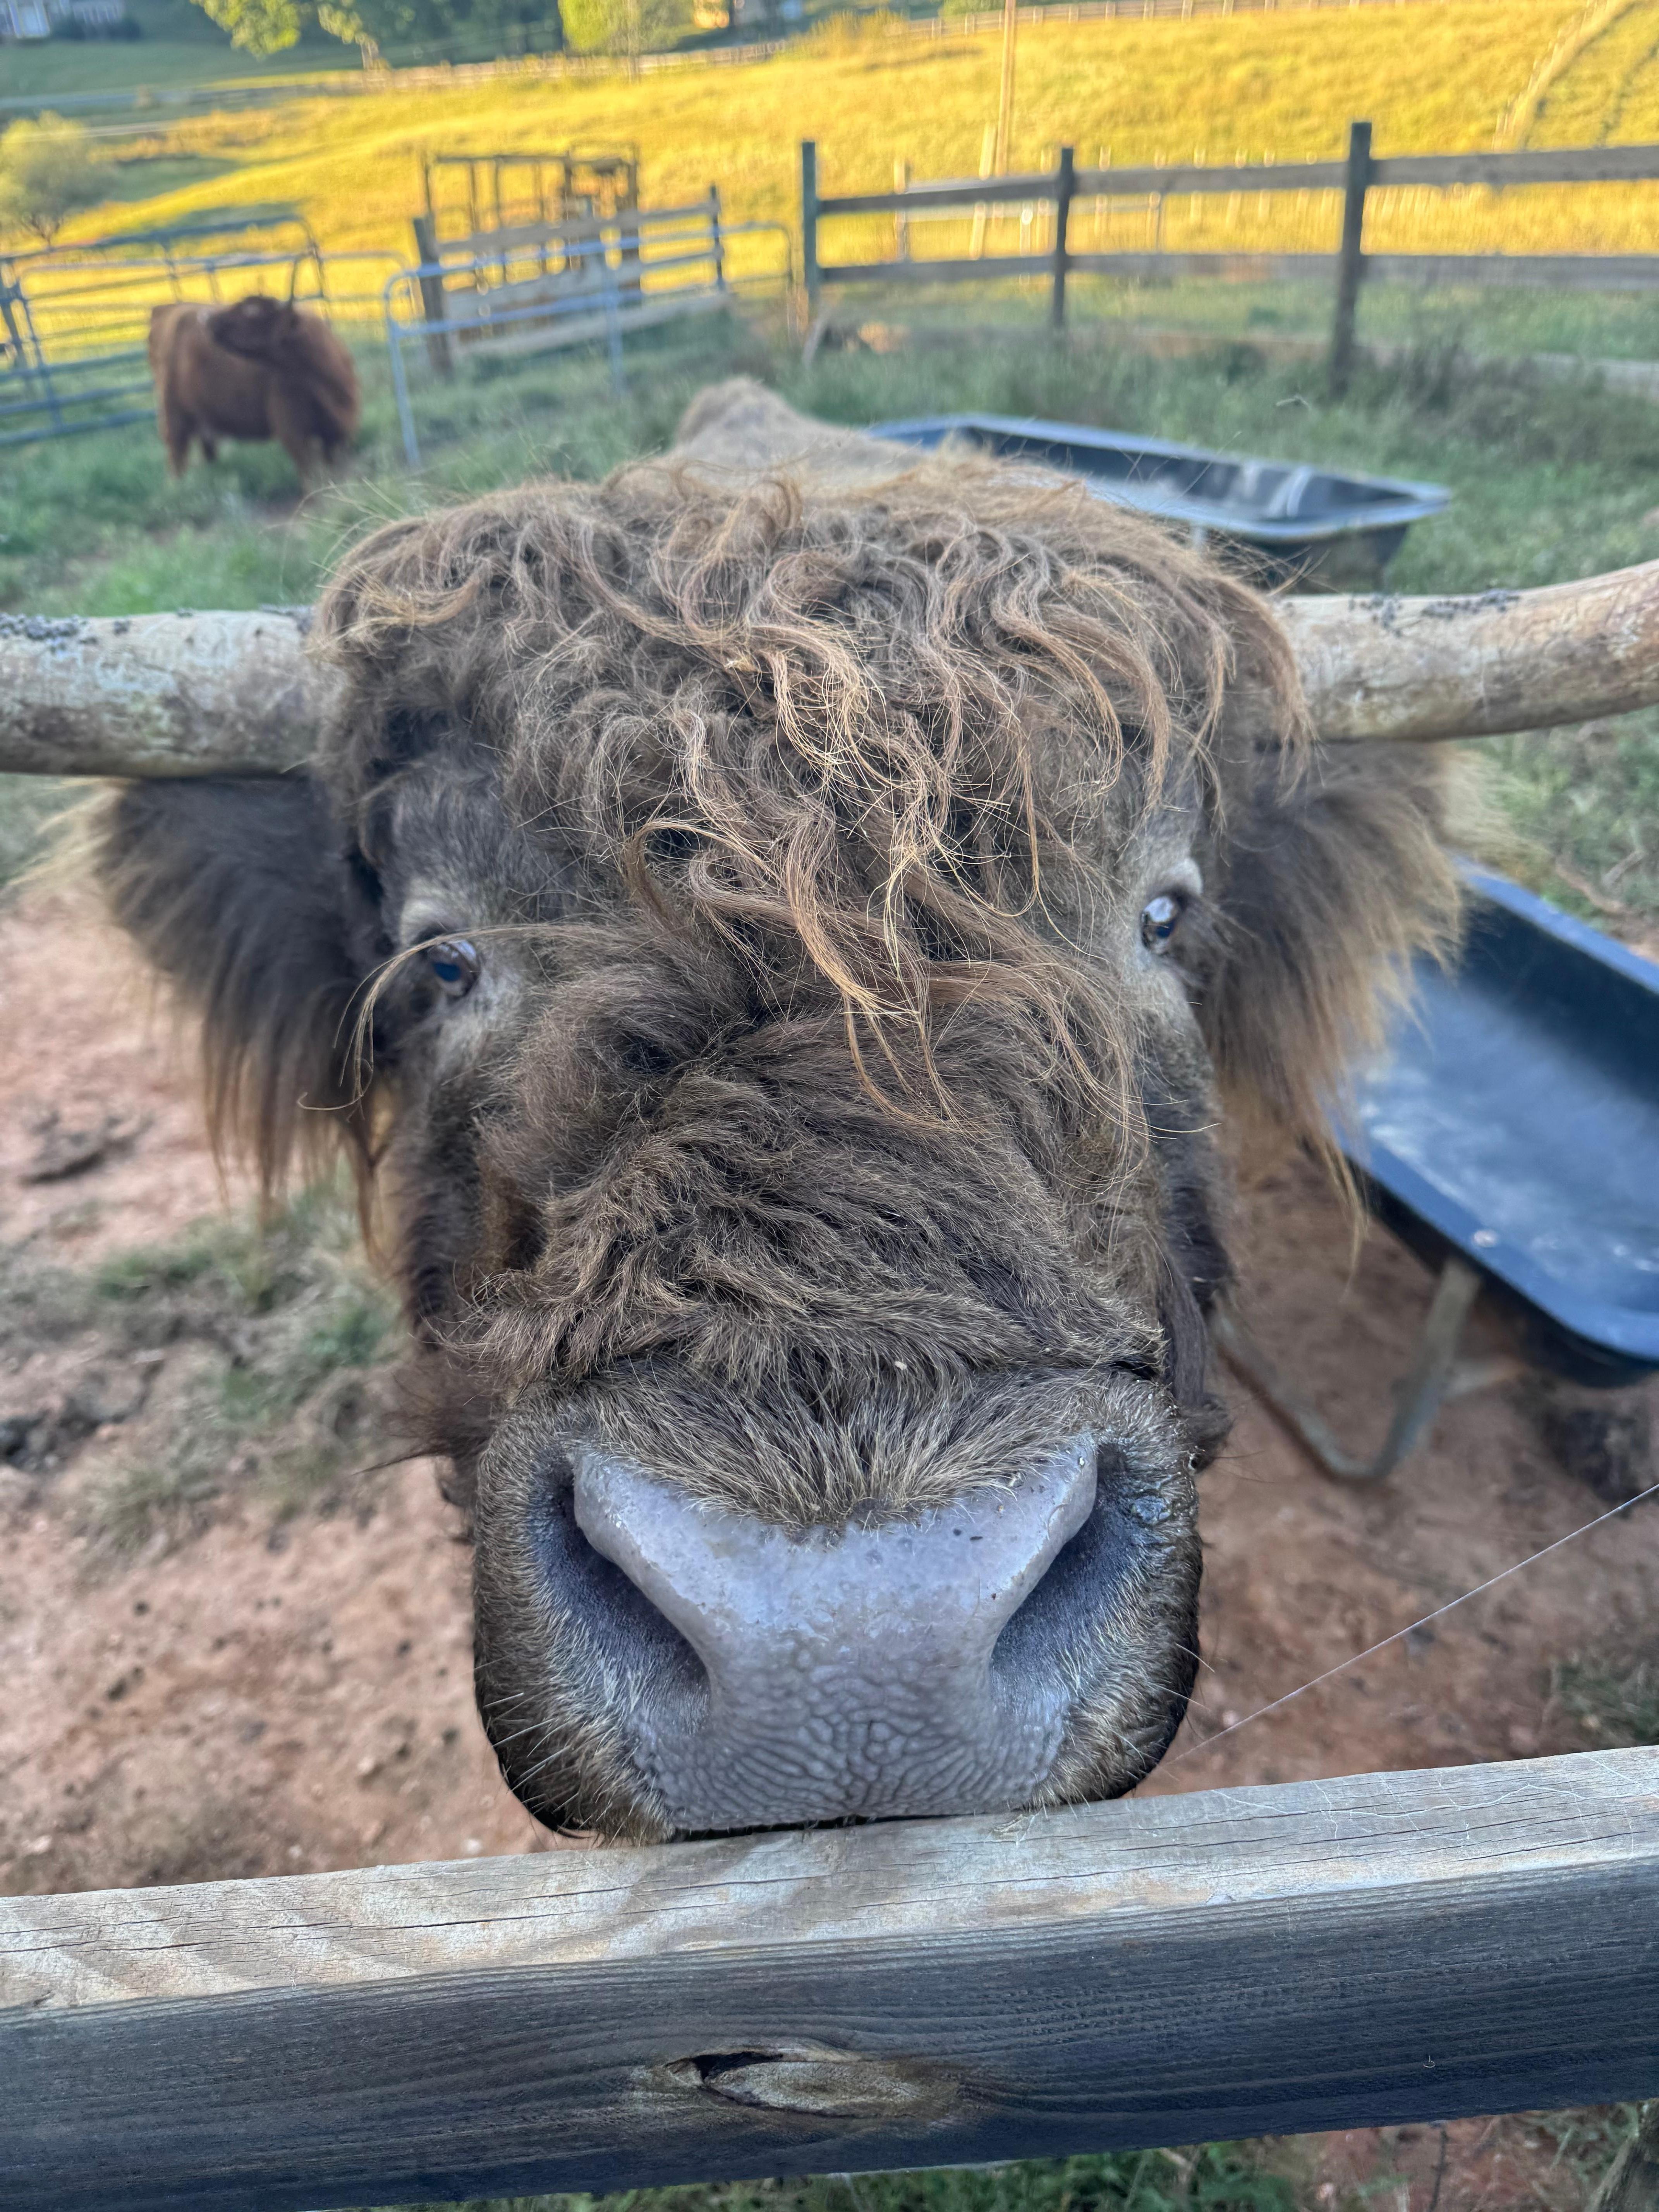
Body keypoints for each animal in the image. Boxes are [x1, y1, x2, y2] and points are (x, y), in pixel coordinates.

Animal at [147, 294, 360, 485]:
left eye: (252, 310)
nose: (206, 317)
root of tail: (167, 309)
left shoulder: (338, 433)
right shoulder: (293, 432)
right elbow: (310, 476)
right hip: (175, 419)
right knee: (177, 457)